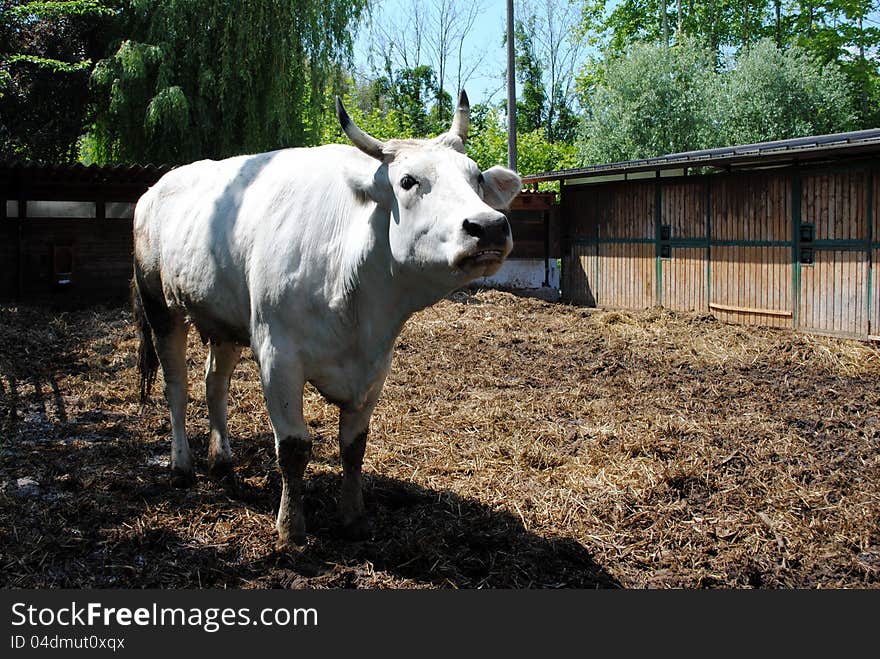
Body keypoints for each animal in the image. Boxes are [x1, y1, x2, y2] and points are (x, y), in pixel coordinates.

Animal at [130, 91, 516, 548]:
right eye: (408, 181)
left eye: (477, 178)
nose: (489, 226)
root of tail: (153, 190)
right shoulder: (278, 356)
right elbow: (294, 447)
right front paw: (290, 528)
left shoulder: (375, 366)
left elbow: (354, 446)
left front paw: (353, 517)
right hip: (161, 307)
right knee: (177, 386)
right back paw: (181, 466)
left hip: (224, 322)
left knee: (214, 384)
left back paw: (221, 460)